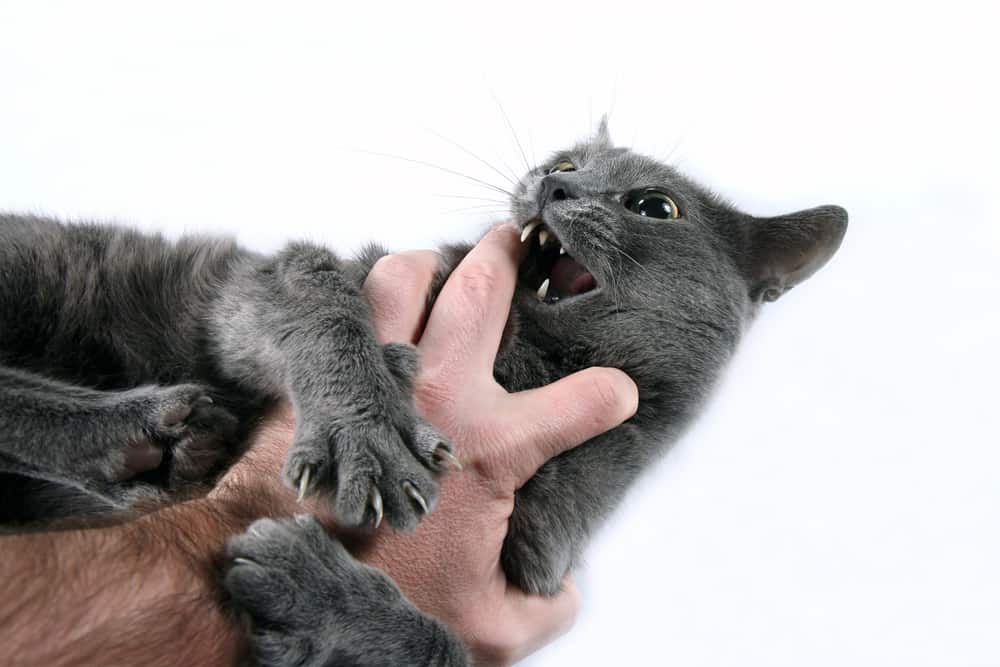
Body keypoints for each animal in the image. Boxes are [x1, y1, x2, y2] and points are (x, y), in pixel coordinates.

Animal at [0, 121, 844, 667]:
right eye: (569, 158)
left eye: (653, 207)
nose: (554, 180)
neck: (528, 365)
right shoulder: (270, 287)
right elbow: (320, 295)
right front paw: (368, 433)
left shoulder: (533, 570)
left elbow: (451, 649)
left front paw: (319, 592)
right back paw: (138, 428)